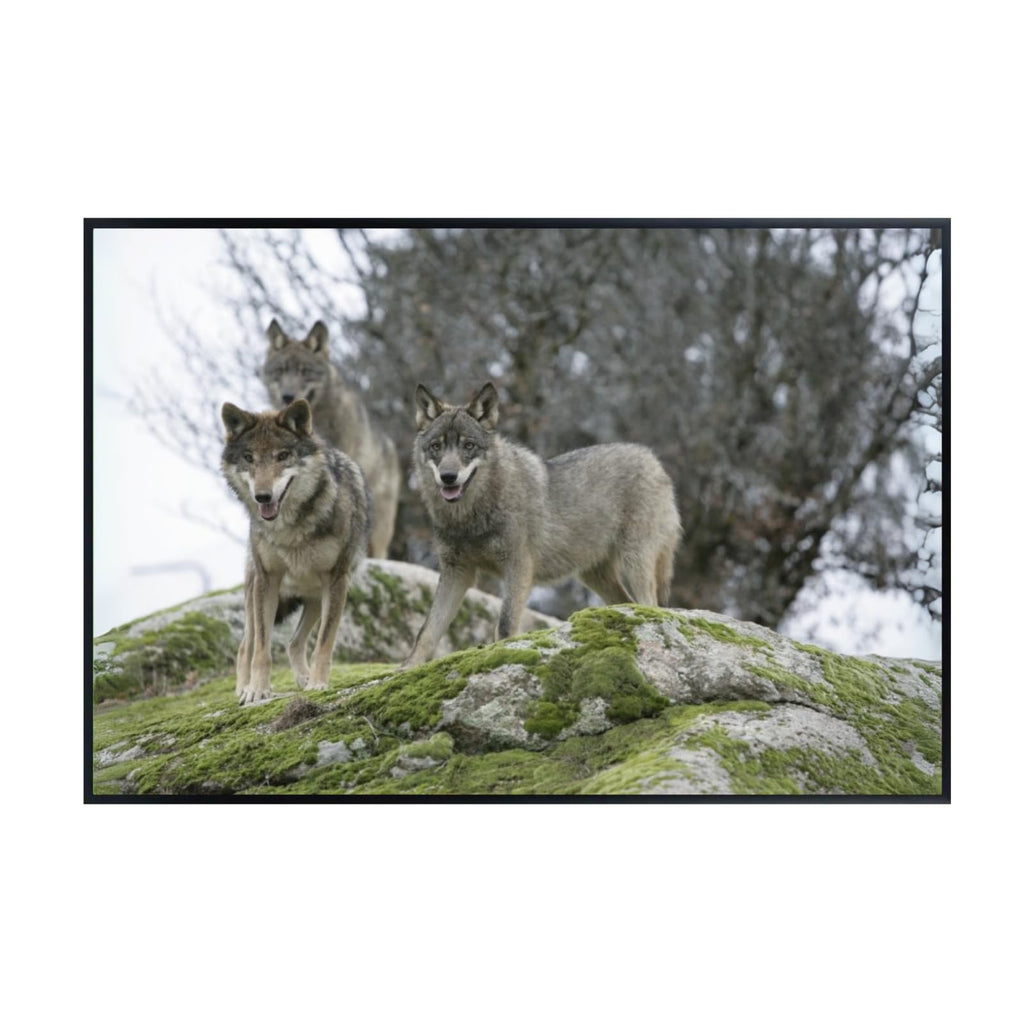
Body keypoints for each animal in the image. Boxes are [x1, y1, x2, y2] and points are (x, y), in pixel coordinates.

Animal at [221, 398, 370, 705]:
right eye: (249, 457)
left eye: (282, 456)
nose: (262, 496)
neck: (289, 529)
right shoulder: (267, 581)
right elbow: (262, 649)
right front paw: (257, 690)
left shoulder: (336, 580)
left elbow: (324, 643)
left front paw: (317, 684)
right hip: (254, 593)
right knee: (245, 646)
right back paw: (243, 688)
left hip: (315, 597)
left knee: (293, 642)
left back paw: (304, 679)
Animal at [405, 381, 682, 666]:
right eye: (436, 447)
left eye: (468, 446)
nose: (448, 477)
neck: (469, 517)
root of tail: (652, 459)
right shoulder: (456, 571)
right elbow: (426, 632)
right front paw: (407, 668)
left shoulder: (518, 565)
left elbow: (505, 625)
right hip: (594, 575)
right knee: (627, 603)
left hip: (635, 561)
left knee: (651, 605)